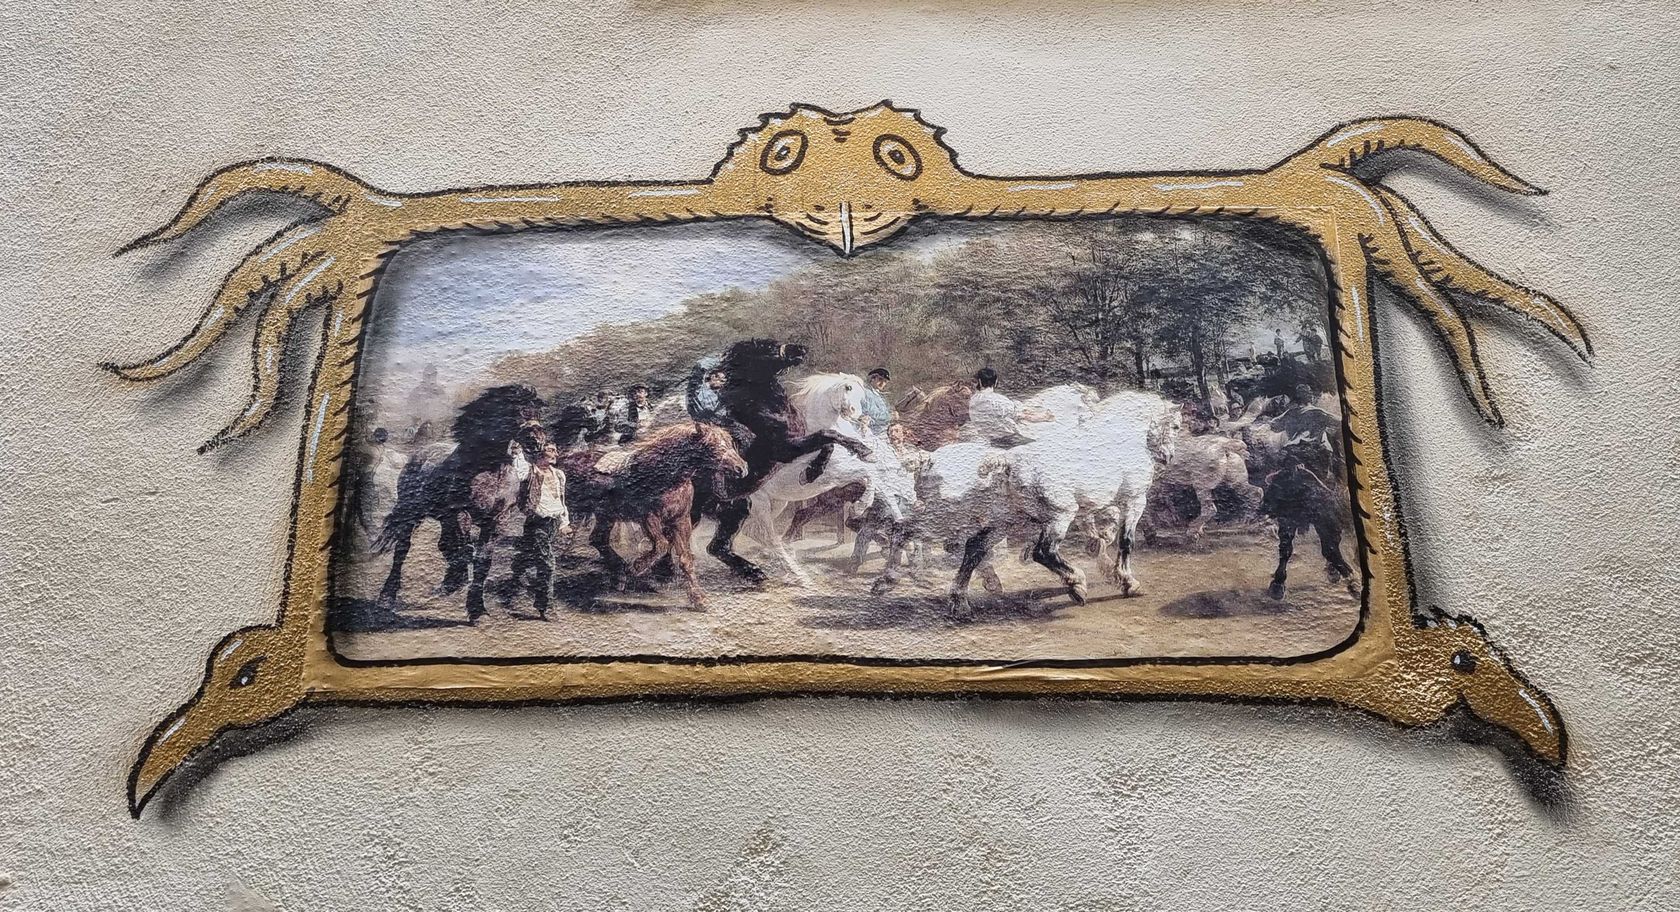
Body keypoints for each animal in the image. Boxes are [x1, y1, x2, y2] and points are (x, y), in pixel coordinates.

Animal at [373, 385, 548, 621]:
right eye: (519, 410)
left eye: (538, 412)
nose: (538, 441)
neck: (490, 470)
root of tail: (419, 455)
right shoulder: (461, 513)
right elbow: (466, 550)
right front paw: (466, 596)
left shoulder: (496, 520)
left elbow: (483, 560)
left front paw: (477, 609)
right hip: (413, 514)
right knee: (403, 549)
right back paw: (387, 597)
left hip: (444, 519)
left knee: (444, 544)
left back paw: (448, 583)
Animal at [558, 423, 748, 608]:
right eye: (711, 445)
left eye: (730, 444)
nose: (742, 468)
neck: (664, 476)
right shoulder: (649, 519)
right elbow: (662, 545)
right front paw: (637, 567)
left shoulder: (681, 521)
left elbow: (685, 558)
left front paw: (698, 598)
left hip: (606, 516)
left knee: (598, 539)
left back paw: (619, 574)